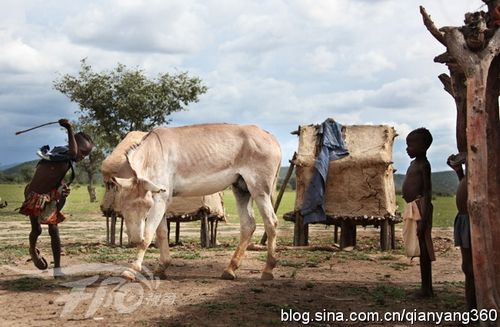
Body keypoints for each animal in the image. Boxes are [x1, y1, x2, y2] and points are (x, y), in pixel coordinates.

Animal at [114, 124, 284, 280]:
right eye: (124, 206)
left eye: (147, 207)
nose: (135, 239)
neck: (152, 154)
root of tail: (270, 135)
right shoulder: (161, 200)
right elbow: (161, 234)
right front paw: (162, 267)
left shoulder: (159, 200)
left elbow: (149, 234)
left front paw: (132, 270)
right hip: (242, 189)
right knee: (248, 225)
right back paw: (230, 269)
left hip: (259, 190)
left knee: (271, 223)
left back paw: (267, 270)